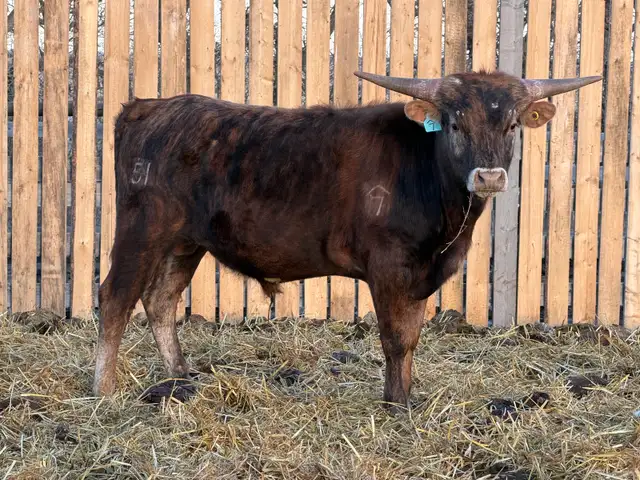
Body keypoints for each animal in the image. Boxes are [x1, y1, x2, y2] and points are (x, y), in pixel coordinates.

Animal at [93, 69, 600, 411]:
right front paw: (395, 405)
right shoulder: (390, 265)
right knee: (115, 298)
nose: (490, 176)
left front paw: (405, 397)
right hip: (142, 229)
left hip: (185, 242)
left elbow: (412, 336)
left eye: (512, 124)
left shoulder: (420, 271)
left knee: (160, 300)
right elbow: (396, 338)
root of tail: (149, 106)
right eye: (456, 124)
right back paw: (104, 391)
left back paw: (182, 379)